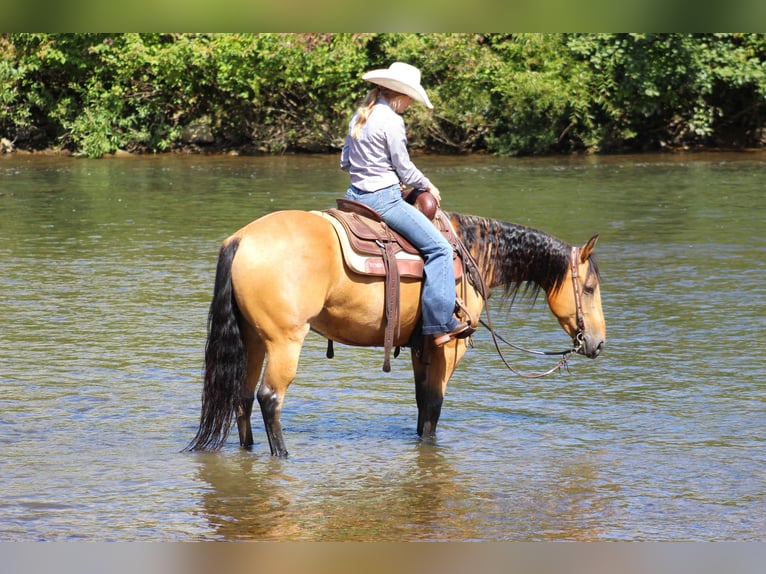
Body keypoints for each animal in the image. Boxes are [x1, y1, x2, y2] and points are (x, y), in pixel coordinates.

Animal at [186, 207, 608, 460]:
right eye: (589, 288)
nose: (598, 343)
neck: (472, 254)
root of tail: (240, 239)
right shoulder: (449, 347)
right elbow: (434, 405)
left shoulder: (424, 347)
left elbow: (422, 404)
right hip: (284, 340)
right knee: (269, 398)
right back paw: (284, 455)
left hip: (253, 338)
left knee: (241, 396)